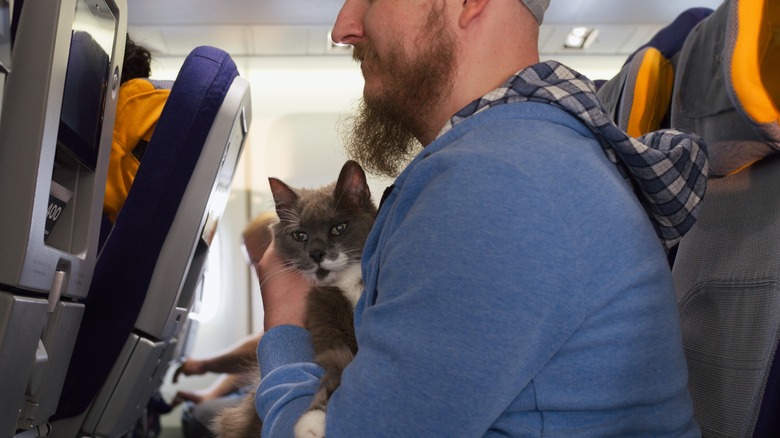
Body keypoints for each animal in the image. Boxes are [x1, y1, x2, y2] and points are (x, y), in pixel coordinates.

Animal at [210, 160, 374, 438]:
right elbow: (338, 362)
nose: (316, 253)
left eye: (338, 228)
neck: (347, 283)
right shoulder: (328, 329)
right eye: (300, 236)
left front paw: (313, 422)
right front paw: (313, 424)